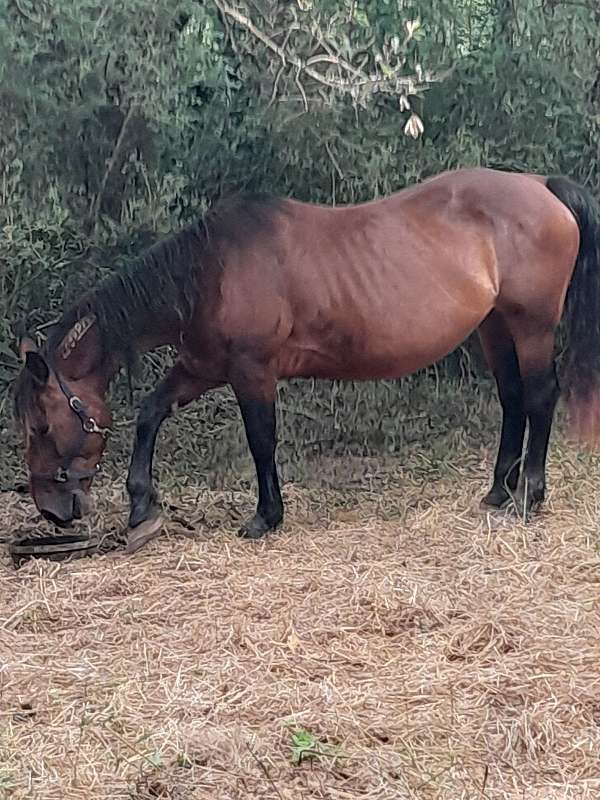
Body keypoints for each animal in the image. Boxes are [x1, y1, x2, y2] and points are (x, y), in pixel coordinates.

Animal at [10, 166, 600, 548]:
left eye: (41, 426)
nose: (51, 511)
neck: (210, 272)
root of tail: (541, 186)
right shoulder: (203, 367)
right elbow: (151, 412)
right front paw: (140, 507)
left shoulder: (251, 371)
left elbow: (261, 439)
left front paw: (265, 517)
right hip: (494, 327)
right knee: (513, 399)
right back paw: (498, 492)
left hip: (531, 325)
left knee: (540, 397)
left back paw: (530, 497)